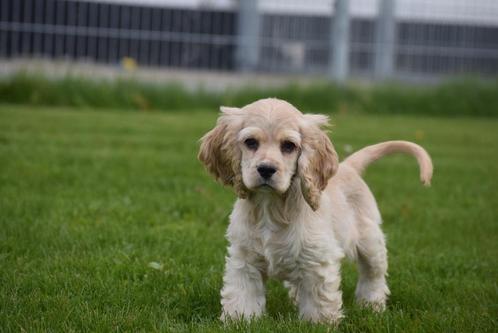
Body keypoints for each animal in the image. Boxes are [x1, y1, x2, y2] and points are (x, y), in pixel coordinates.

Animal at [197, 98, 432, 322]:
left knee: (373, 276)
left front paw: (317, 323)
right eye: (250, 142)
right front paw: (240, 320)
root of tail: (348, 166)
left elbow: (319, 302)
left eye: (289, 146)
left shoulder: (317, 260)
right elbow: (242, 296)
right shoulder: (244, 259)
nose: (266, 169)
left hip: (370, 241)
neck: (270, 207)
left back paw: (372, 305)